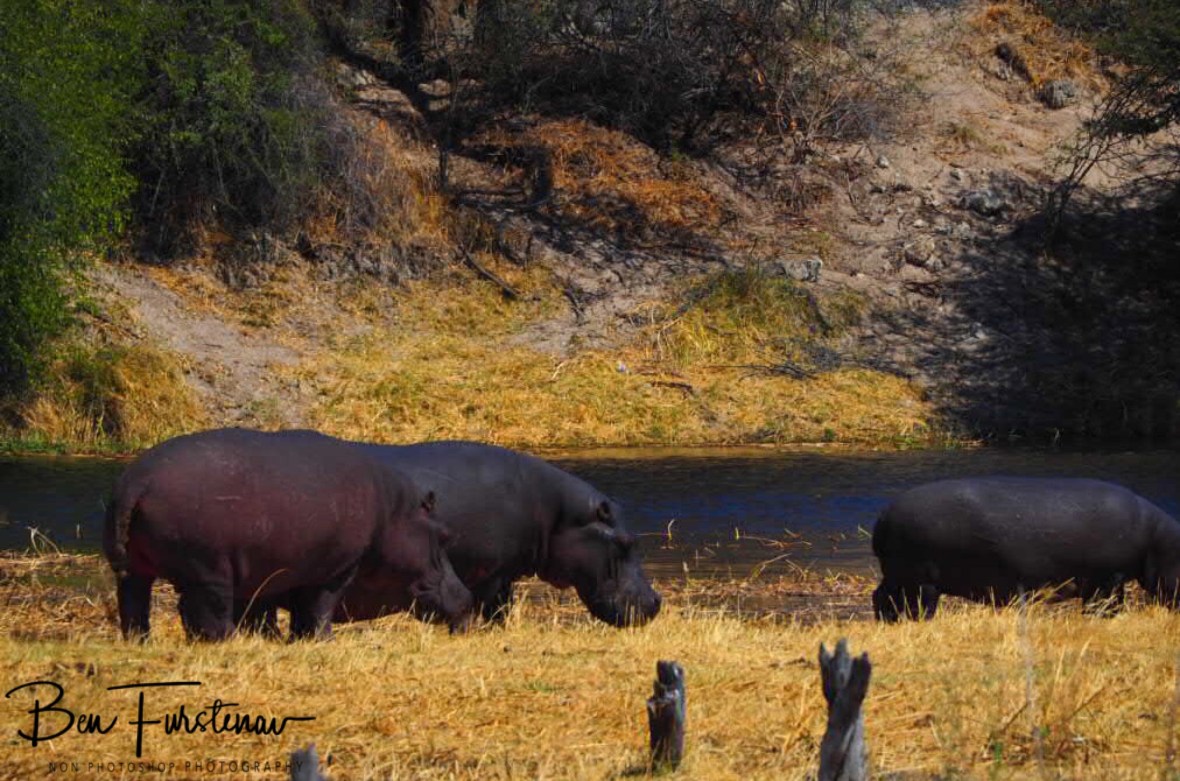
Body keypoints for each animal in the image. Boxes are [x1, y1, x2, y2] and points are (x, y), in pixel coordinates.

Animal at [103, 428, 473, 641]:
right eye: (444, 535)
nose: (467, 598)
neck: (395, 514)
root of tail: (137, 479)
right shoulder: (336, 569)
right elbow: (320, 606)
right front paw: (324, 642)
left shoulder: (292, 568)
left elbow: (296, 611)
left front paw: (293, 641)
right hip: (208, 571)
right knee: (207, 612)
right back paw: (229, 643)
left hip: (136, 569)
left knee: (134, 606)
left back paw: (141, 643)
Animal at [243, 440, 661, 628]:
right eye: (626, 542)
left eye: (638, 540)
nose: (656, 602)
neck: (557, 514)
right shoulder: (492, 574)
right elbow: (492, 609)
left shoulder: (500, 574)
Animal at [871, 477, 1180, 621]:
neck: (1159, 540)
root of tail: (884, 514)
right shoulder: (1109, 578)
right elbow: (1107, 606)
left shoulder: (1107, 579)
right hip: (919, 580)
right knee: (917, 606)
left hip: (898, 576)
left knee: (882, 597)